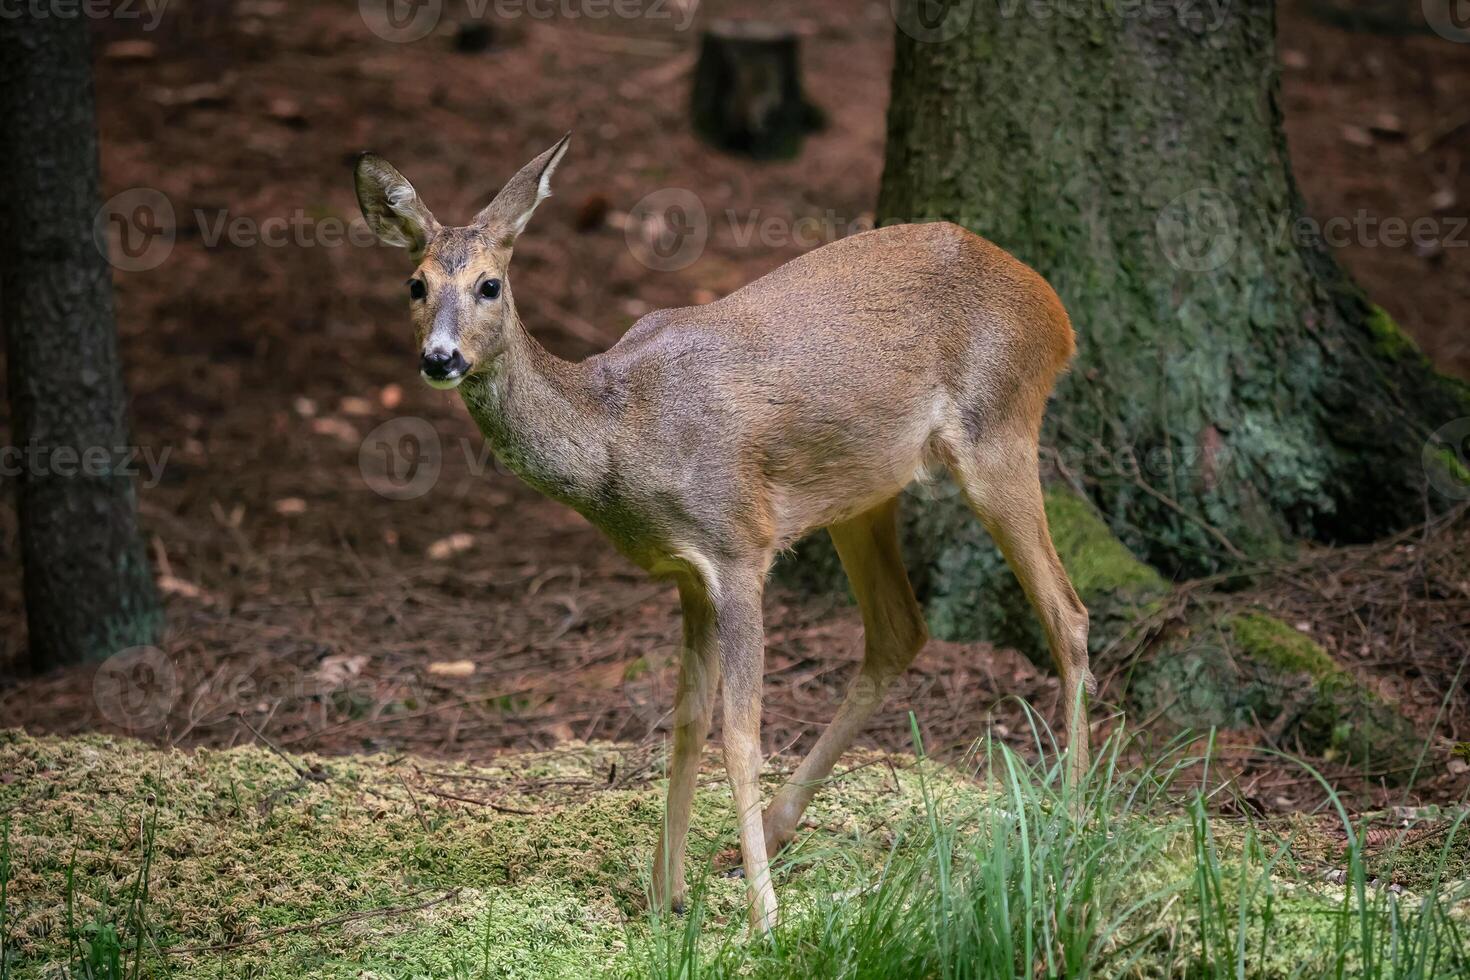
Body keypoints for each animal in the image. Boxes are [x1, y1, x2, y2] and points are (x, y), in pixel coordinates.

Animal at [352, 134, 1093, 934]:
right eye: (415, 284)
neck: (618, 433)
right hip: (861, 494)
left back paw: (1075, 817)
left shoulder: (738, 547)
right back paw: (769, 830)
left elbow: (741, 734)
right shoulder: (686, 572)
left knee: (1067, 614)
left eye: (490, 284)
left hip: (998, 430)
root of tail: (1056, 312)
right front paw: (663, 896)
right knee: (901, 629)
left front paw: (763, 918)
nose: (440, 358)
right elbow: (685, 724)